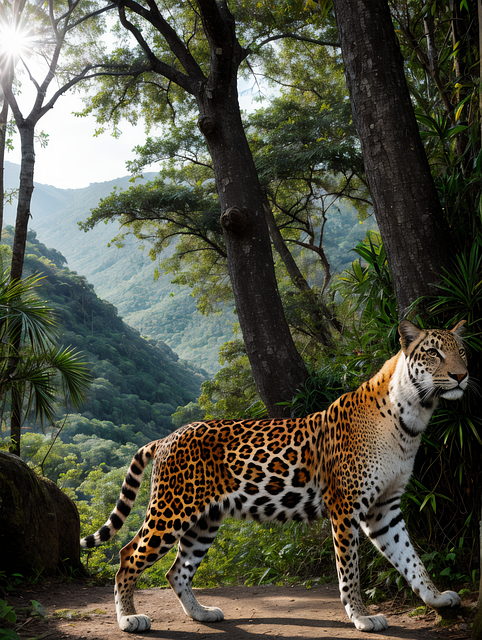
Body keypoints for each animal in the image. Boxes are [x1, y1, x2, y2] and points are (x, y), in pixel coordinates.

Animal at [81, 320, 469, 633]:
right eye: (433, 353)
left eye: (462, 352)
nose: (461, 376)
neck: (412, 417)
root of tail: (167, 437)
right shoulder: (346, 508)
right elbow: (350, 570)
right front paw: (361, 617)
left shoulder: (385, 509)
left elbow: (411, 559)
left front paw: (436, 598)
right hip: (172, 509)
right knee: (127, 556)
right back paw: (128, 619)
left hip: (204, 521)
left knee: (176, 570)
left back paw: (201, 614)